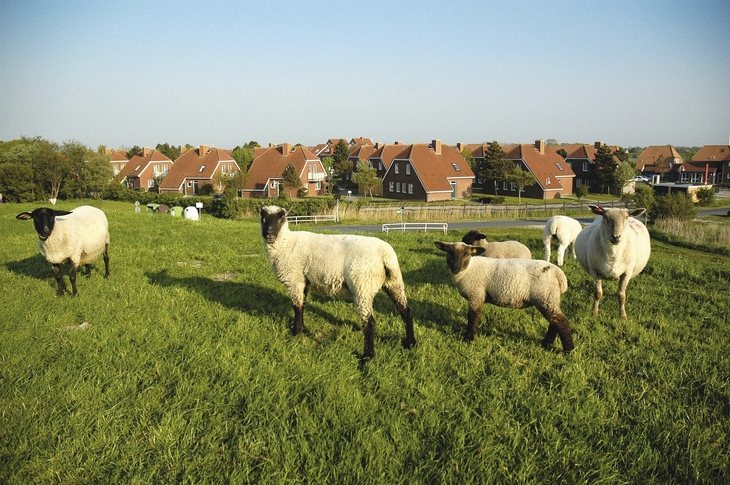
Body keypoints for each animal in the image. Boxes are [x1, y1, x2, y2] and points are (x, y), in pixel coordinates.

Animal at [260, 204, 416, 362]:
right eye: (263, 217)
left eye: (281, 217)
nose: (269, 233)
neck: (286, 243)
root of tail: (384, 254)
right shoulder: (303, 281)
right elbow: (302, 304)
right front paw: (301, 329)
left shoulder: (294, 280)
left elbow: (297, 307)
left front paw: (296, 332)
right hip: (394, 282)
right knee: (406, 310)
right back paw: (410, 343)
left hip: (362, 286)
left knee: (369, 321)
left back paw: (368, 356)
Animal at [434, 241, 574, 352]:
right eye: (449, 252)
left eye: (466, 254)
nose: (455, 268)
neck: (469, 269)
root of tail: (559, 274)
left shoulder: (476, 295)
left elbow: (473, 317)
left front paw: (468, 338)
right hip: (550, 298)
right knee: (554, 322)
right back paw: (546, 344)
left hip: (545, 296)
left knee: (561, 322)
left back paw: (568, 350)